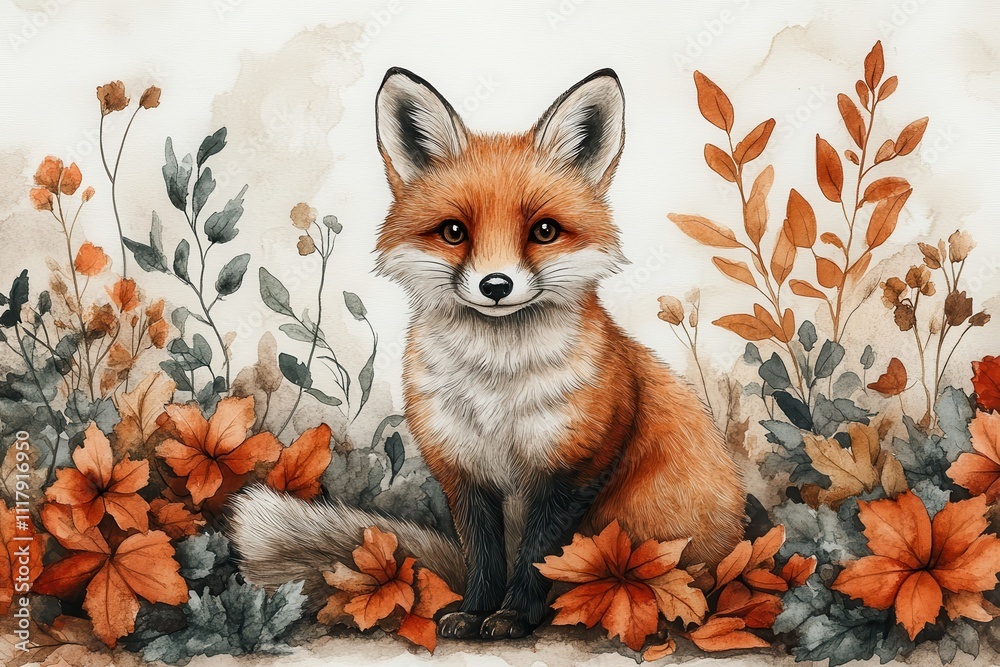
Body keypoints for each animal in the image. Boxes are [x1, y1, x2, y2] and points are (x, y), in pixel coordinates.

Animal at [229, 67, 746, 641]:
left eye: (544, 230)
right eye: (455, 231)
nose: (495, 285)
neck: (495, 386)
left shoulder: (575, 467)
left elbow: (539, 555)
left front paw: (515, 616)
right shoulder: (461, 468)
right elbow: (483, 555)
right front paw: (476, 612)